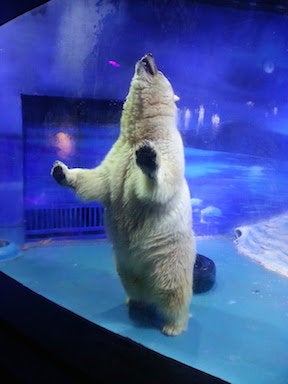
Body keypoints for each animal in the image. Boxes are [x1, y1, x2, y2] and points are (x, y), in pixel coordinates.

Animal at [51, 54, 196, 336]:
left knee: (173, 291)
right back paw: (135, 301)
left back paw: (173, 325)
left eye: (159, 68)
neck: (140, 133)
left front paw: (148, 157)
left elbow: (159, 185)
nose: (148, 54)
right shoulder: (117, 154)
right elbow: (98, 181)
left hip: (169, 257)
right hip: (125, 265)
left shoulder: (170, 147)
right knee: (132, 283)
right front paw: (61, 171)